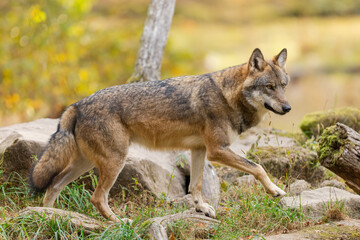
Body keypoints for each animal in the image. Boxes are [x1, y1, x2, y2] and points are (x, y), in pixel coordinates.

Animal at [29, 48, 292, 221]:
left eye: (284, 86)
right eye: (269, 87)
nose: (288, 108)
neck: (228, 96)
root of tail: (77, 105)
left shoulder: (200, 149)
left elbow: (196, 185)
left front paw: (201, 209)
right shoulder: (218, 151)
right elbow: (258, 167)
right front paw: (276, 191)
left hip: (86, 164)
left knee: (54, 184)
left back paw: (48, 215)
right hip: (114, 162)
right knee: (96, 198)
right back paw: (117, 222)